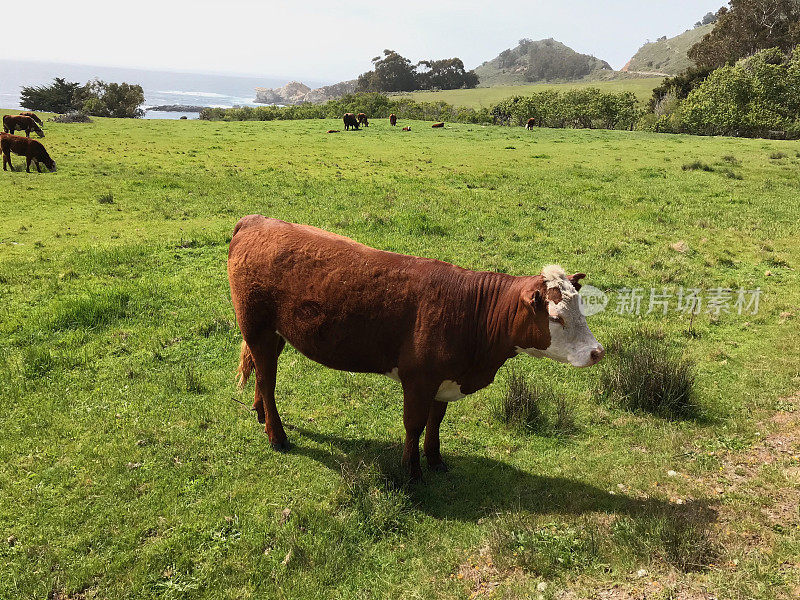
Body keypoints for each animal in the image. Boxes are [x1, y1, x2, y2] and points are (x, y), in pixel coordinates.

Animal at [228, 218, 604, 480]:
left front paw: (435, 460)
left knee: (262, 375)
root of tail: (256, 220)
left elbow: (435, 422)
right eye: (556, 317)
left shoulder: (444, 379)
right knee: (268, 380)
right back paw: (276, 435)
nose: (597, 352)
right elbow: (414, 424)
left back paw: (260, 414)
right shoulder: (418, 379)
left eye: (581, 306)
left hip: (274, 334)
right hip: (257, 329)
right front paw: (411, 472)